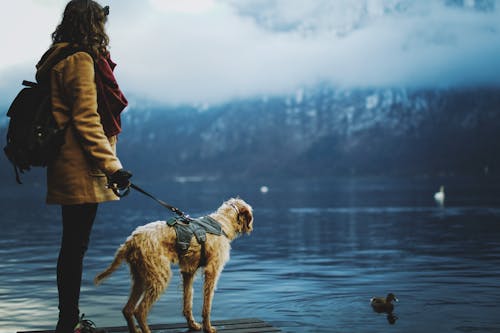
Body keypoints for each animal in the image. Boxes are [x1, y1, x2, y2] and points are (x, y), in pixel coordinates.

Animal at [94, 197, 254, 332]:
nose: (251, 228)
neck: (222, 223)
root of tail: (131, 240)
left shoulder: (188, 272)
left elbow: (187, 301)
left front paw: (193, 324)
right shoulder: (212, 271)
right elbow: (206, 305)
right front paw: (208, 328)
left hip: (140, 276)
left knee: (127, 310)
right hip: (159, 277)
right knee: (140, 311)